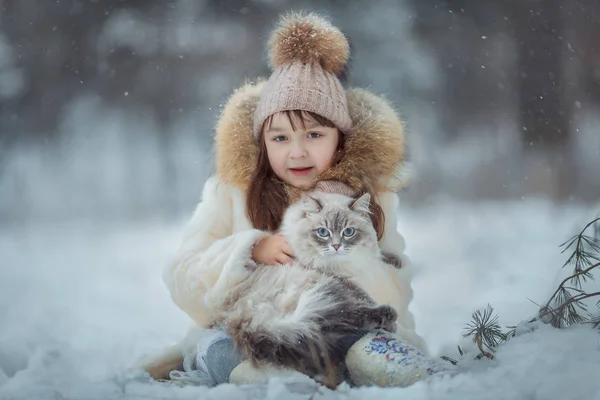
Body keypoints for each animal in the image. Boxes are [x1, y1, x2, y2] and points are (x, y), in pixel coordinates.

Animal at [216, 191, 398, 384]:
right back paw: (388, 317)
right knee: (350, 315)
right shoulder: (340, 280)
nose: (336, 246)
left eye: (348, 232)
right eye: (323, 232)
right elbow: (365, 297)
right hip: (322, 295)